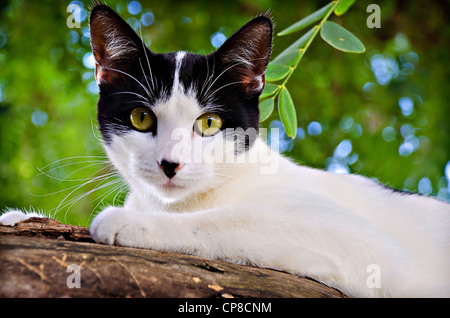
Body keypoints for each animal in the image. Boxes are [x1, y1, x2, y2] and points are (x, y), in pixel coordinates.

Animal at [0, 3, 450, 298]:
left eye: (209, 124)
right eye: (141, 118)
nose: (170, 164)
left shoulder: (369, 250)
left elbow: (234, 219)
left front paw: (130, 222)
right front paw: (20, 218)